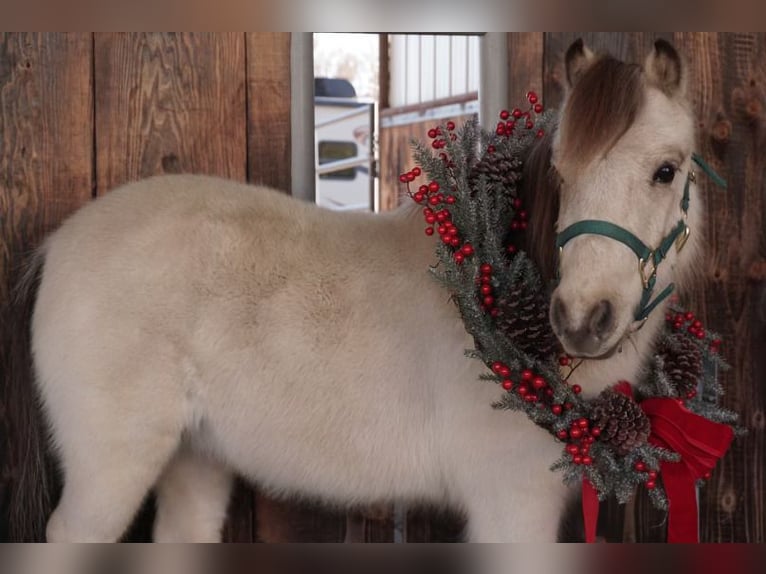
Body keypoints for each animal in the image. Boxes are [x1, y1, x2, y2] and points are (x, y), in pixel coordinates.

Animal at [7, 40, 704, 544]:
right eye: (560, 174)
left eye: (666, 171)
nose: (583, 318)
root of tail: (60, 243)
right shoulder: (512, 505)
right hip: (111, 469)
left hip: (194, 459)